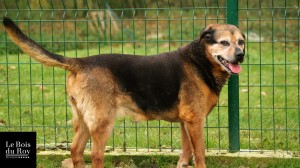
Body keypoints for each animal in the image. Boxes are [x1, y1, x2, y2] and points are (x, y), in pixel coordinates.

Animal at [2, 16, 244, 168]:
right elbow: (199, 154)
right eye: (224, 43)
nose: (241, 55)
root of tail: (81, 62)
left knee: (75, 152)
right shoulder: (195, 121)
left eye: (241, 42)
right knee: (95, 155)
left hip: (83, 120)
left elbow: (185, 154)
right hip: (102, 122)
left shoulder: (186, 122)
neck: (201, 60)